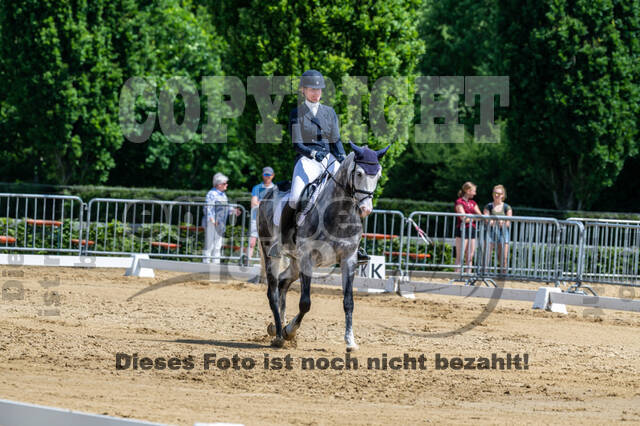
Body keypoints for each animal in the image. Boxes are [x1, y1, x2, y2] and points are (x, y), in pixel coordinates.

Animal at [257, 142, 389, 350]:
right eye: (359, 173)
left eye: (378, 175)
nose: (366, 209)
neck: (339, 213)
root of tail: (268, 193)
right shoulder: (307, 258)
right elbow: (305, 303)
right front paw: (289, 331)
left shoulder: (348, 259)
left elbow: (349, 302)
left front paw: (350, 341)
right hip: (272, 254)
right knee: (273, 292)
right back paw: (279, 334)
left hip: (295, 262)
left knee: (283, 282)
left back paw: (278, 326)